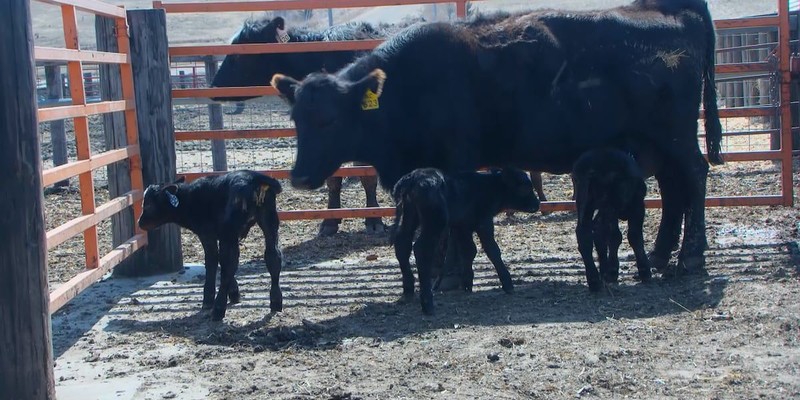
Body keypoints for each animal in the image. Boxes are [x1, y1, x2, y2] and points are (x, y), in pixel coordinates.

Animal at [138, 170, 284, 320]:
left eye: (148, 205)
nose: (140, 222)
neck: (189, 199)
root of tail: (253, 177)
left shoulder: (207, 234)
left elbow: (212, 261)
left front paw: (209, 299)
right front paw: (234, 293)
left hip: (229, 232)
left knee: (228, 265)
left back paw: (218, 309)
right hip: (269, 219)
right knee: (273, 256)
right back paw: (276, 302)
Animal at [390, 167, 540, 314]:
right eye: (525, 188)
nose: (537, 203)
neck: (489, 186)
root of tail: (411, 178)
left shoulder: (462, 226)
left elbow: (468, 250)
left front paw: (467, 283)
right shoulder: (483, 221)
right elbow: (492, 250)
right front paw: (508, 284)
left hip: (408, 216)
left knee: (402, 243)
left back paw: (408, 292)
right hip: (435, 221)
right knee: (421, 249)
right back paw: (428, 304)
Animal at [568, 147, 648, 290]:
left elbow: (616, 236)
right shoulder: (637, 205)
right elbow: (632, 236)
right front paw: (644, 271)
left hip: (585, 201)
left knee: (584, 231)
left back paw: (595, 279)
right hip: (608, 203)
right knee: (603, 230)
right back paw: (604, 273)